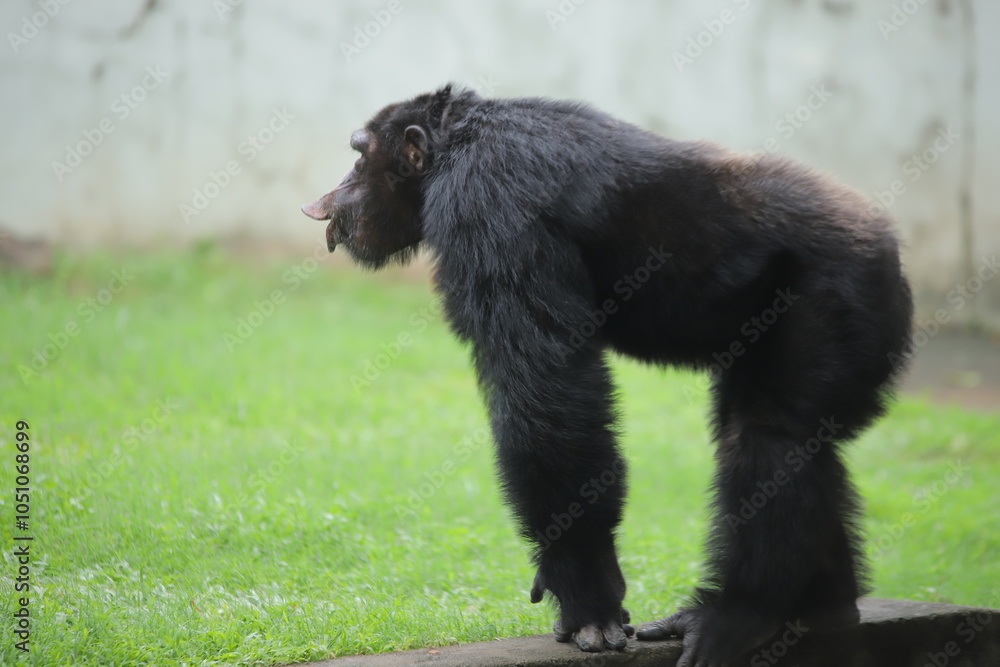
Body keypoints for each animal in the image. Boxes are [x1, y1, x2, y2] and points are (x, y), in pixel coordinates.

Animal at [302, 86, 916, 664]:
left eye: (359, 154)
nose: (336, 188)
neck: (455, 144)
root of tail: (888, 241)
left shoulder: (489, 200)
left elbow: (547, 389)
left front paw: (586, 589)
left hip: (839, 296)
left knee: (771, 438)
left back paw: (742, 612)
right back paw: (823, 606)